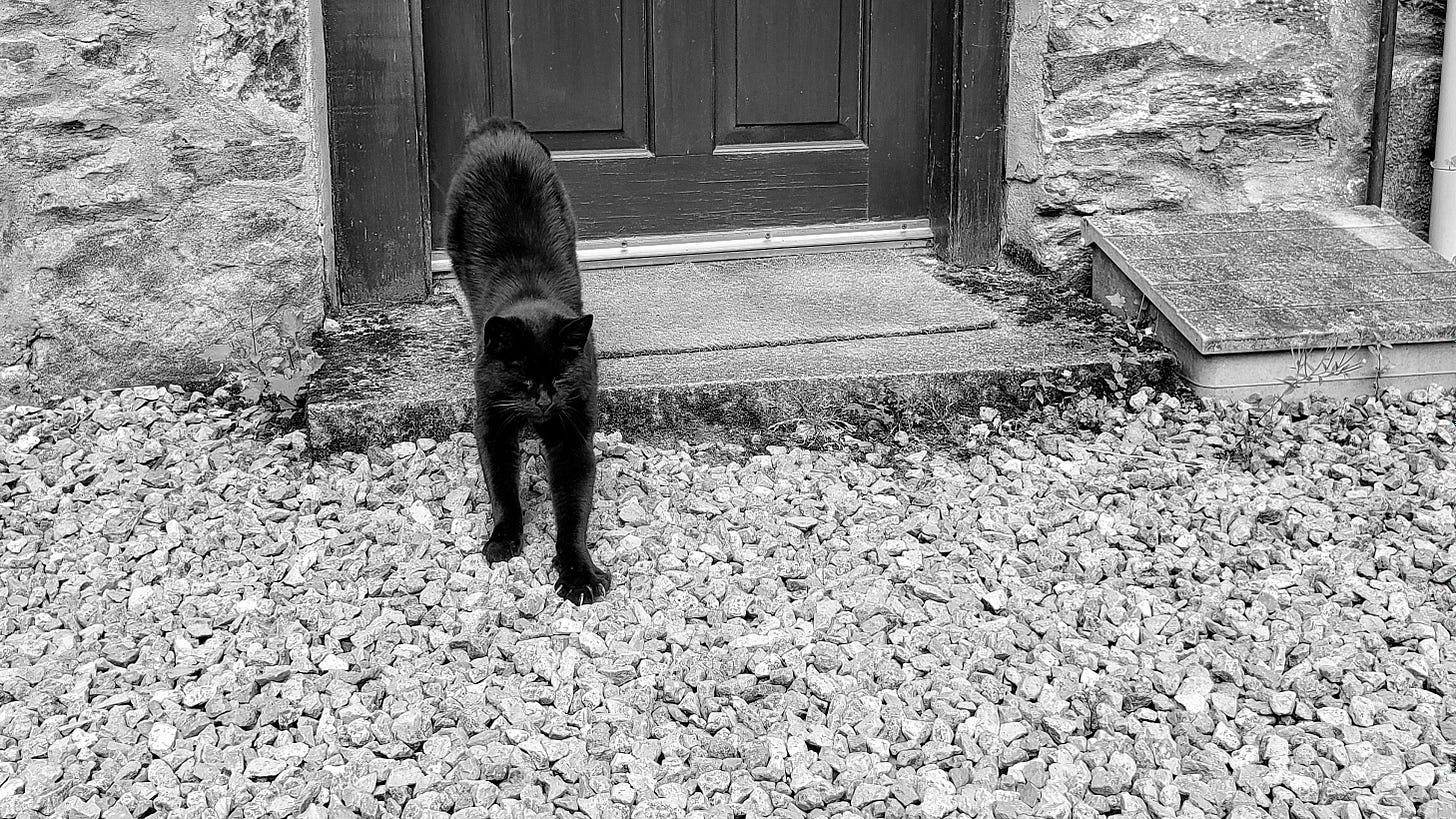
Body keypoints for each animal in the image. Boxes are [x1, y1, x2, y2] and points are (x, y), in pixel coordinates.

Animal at [439, 116, 605, 600]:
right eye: (523, 379)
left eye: (560, 378)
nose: (544, 401)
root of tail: (499, 128)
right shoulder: (492, 420)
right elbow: (502, 488)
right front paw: (503, 541)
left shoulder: (573, 430)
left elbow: (573, 508)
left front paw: (579, 573)